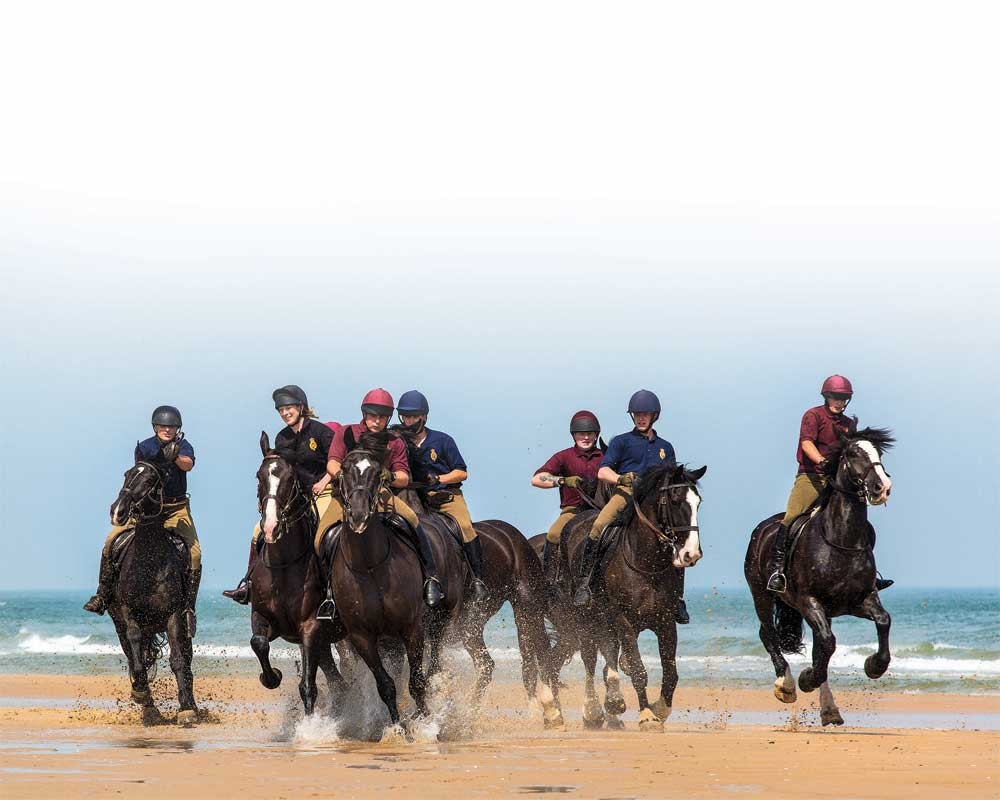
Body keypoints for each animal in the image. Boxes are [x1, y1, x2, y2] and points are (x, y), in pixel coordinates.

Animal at [107, 456, 197, 724]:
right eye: (126, 475)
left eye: (149, 481)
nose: (118, 510)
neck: (149, 560)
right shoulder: (128, 614)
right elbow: (136, 653)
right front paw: (142, 694)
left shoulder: (174, 615)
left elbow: (178, 660)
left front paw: (186, 708)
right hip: (119, 623)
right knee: (132, 654)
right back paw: (148, 704)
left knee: (187, 659)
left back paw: (192, 705)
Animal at [245, 434, 344, 716]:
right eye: (259, 476)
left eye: (290, 479)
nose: (270, 527)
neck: (285, 564)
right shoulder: (262, 616)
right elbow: (258, 643)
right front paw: (272, 677)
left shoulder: (311, 627)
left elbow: (308, 686)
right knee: (338, 680)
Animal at [552, 462, 708, 732]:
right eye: (675, 499)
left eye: (697, 502)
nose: (691, 554)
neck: (645, 562)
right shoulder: (623, 620)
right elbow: (637, 669)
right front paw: (646, 715)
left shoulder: (665, 621)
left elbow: (670, 673)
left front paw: (660, 709)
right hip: (585, 618)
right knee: (590, 659)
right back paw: (593, 711)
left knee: (608, 659)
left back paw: (611, 706)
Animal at [744, 428, 900, 728]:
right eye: (853, 453)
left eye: (878, 452)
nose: (882, 487)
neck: (840, 540)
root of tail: (763, 528)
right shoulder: (809, 601)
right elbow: (828, 643)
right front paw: (807, 679)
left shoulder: (859, 600)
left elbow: (882, 621)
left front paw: (874, 666)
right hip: (761, 594)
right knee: (768, 633)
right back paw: (786, 685)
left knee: (818, 646)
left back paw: (830, 709)